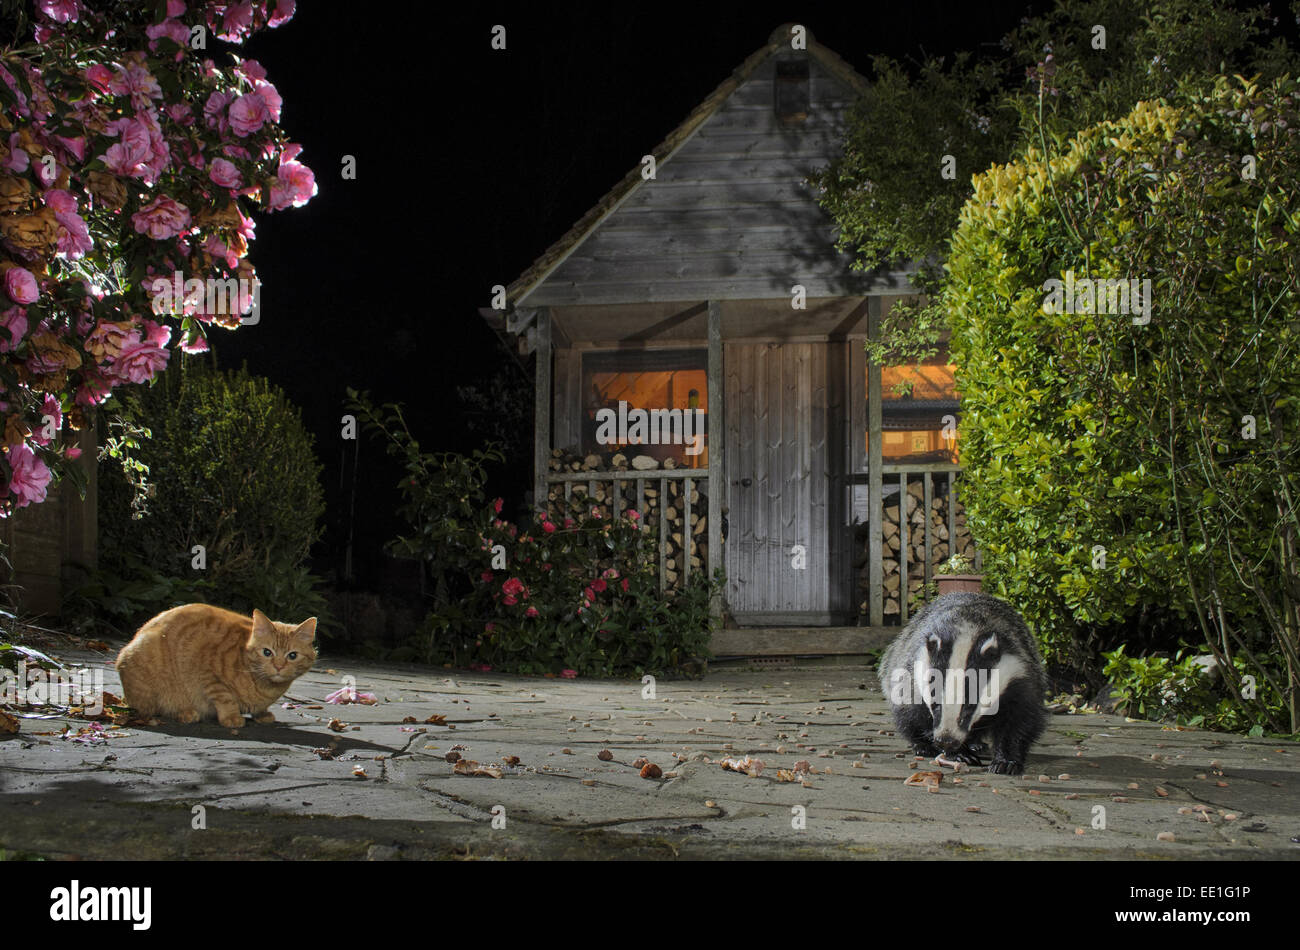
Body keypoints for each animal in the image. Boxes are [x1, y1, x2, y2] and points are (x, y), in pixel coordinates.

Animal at [117, 605, 319, 732]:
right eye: (267, 652)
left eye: (292, 656)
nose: (278, 666)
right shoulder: (207, 672)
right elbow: (225, 698)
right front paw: (231, 717)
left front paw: (261, 714)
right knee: (152, 709)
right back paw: (185, 713)